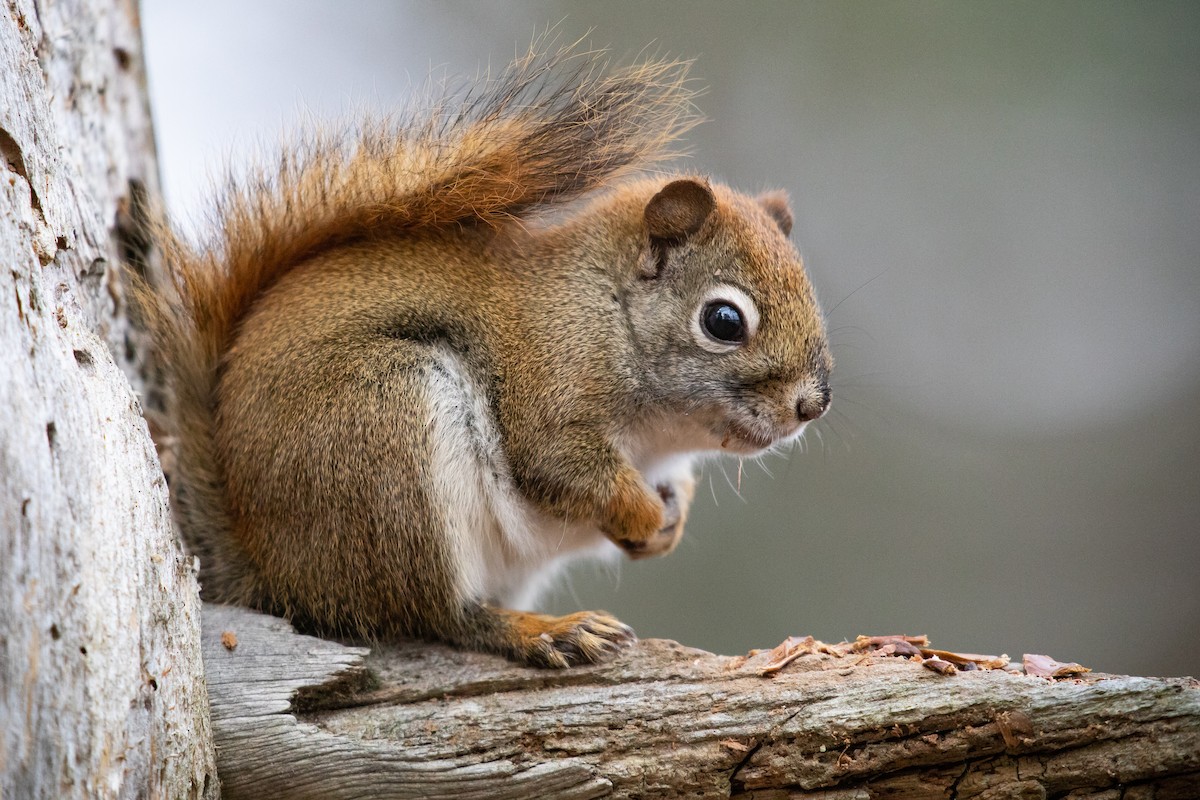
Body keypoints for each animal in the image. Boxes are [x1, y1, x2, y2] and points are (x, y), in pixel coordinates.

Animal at [140, 45, 832, 668]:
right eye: (724, 321)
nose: (813, 404)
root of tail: (271, 569)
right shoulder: (552, 378)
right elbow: (562, 465)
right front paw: (642, 512)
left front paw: (670, 522)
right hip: (386, 446)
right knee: (438, 616)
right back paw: (546, 631)